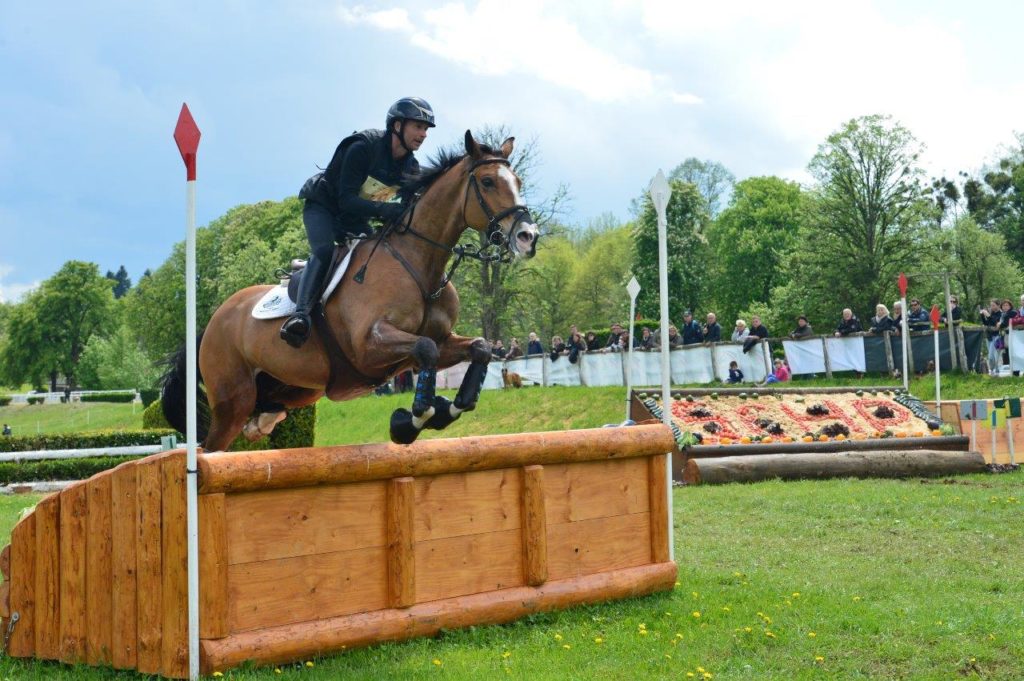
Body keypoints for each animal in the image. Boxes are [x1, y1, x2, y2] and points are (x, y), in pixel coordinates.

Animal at [159, 131, 540, 450]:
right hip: (231, 401)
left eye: (518, 181)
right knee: (211, 448)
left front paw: (447, 409)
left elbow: (479, 348)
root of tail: (211, 324)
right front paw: (413, 420)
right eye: (488, 182)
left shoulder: (442, 340)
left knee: (267, 407)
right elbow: (425, 349)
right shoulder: (369, 345)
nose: (528, 237)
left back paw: (263, 421)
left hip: (298, 389)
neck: (419, 265)